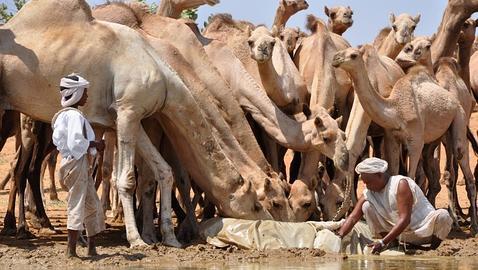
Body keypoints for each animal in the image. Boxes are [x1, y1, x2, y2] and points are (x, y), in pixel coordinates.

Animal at [1, 0, 278, 247]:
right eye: (259, 204)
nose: (268, 223)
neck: (163, 75)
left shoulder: (134, 118)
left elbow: (164, 171)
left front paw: (169, 238)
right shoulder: (127, 110)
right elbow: (127, 178)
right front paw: (137, 240)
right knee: (24, 166)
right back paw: (23, 229)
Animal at [332, 44, 478, 234]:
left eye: (354, 55)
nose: (335, 58)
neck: (395, 110)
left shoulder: (415, 141)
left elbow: (410, 177)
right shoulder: (392, 138)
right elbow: (394, 172)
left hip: (458, 117)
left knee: (462, 161)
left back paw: (471, 225)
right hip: (440, 135)